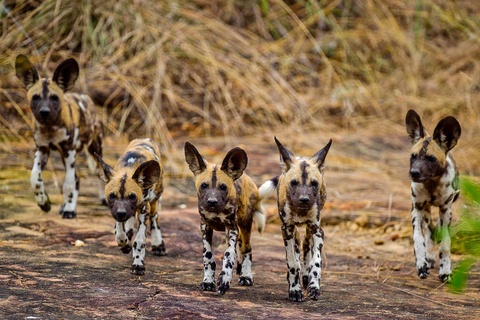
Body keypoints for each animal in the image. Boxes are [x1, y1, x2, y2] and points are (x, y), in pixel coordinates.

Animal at [15, 55, 104, 220]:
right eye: (35, 97)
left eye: (54, 98)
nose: (44, 112)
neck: (50, 128)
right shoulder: (42, 150)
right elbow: (35, 178)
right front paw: (44, 202)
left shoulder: (69, 151)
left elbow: (68, 184)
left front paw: (69, 210)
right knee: (77, 178)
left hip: (94, 151)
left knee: (98, 174)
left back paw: (101, 199)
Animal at [93, 138, 166, 276]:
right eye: (112, 196)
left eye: (132, 196)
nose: (121, 213)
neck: (129, 168)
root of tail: (145, 139)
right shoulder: (116, 211)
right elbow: (119, 234)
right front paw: (124, 244)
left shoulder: (144, 209)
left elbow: (139, 241)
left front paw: (138, 264)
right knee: (130, 220)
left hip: (154, 200)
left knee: (154, 217)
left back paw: (158, 244)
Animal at [184, 141, 266, 296]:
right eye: (204, 186)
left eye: (223, 187)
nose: (212, 202)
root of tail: (246, 176)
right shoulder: (205, 226)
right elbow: (208, 256)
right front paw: (208, 281)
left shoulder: (231, 228)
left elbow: (229, 254)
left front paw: (225, 279)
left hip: (245, 225)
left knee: (247, 249)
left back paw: (246, 275)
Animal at [258, 136, 334, 302]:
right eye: (294, 183)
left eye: (314, 183)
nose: (304, 199)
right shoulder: (287, 229)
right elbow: (293, 263)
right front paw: (294, 290)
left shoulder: (317, 230)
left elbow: (315, 262)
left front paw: (314, 287)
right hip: (293, 232)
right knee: (298, 251)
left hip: (309, 230)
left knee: (306, 248)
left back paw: (306, 278)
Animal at [404, 110, 462, 282]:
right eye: (413, 156)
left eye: (431, 158)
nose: (414, 173)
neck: (432, 184)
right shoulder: (417, 209)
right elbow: (418, 238)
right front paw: (421, 264)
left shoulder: (446, 210)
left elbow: (445, 244)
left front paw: (446, 271)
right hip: (425, 211)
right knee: (428, 230)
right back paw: (428, 257)